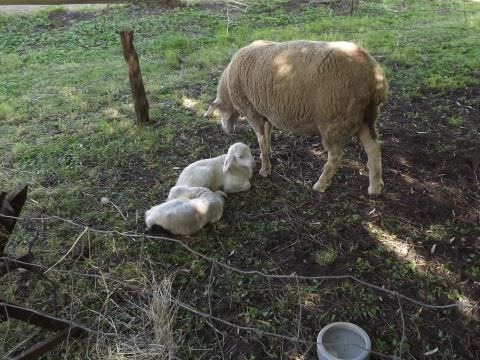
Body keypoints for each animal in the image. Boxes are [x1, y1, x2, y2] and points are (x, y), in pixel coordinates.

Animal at [204, 40, 388, 194]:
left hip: (334, 120)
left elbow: (261, 139)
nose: (226, 131)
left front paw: (265, 169)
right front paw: (269, 152)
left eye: (220, 111)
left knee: (336, 156)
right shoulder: (265, 110)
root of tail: (375, 78)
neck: (229, 89)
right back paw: (375, 187)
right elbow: (268, 133)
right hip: (366, 116)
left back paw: (321, 185)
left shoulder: (252, 111)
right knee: (374, 148)